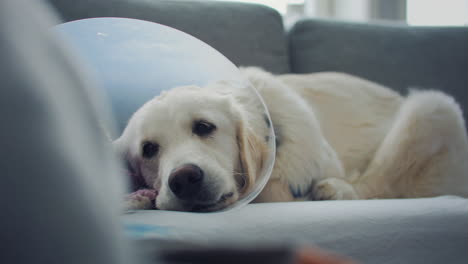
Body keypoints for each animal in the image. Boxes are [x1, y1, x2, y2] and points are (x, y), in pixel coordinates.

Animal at [113, 67, 468, 211]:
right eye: (148, 150)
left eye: (204, 127)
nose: (184, 179)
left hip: (433, 107)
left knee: (376, 185)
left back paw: (334, 190)